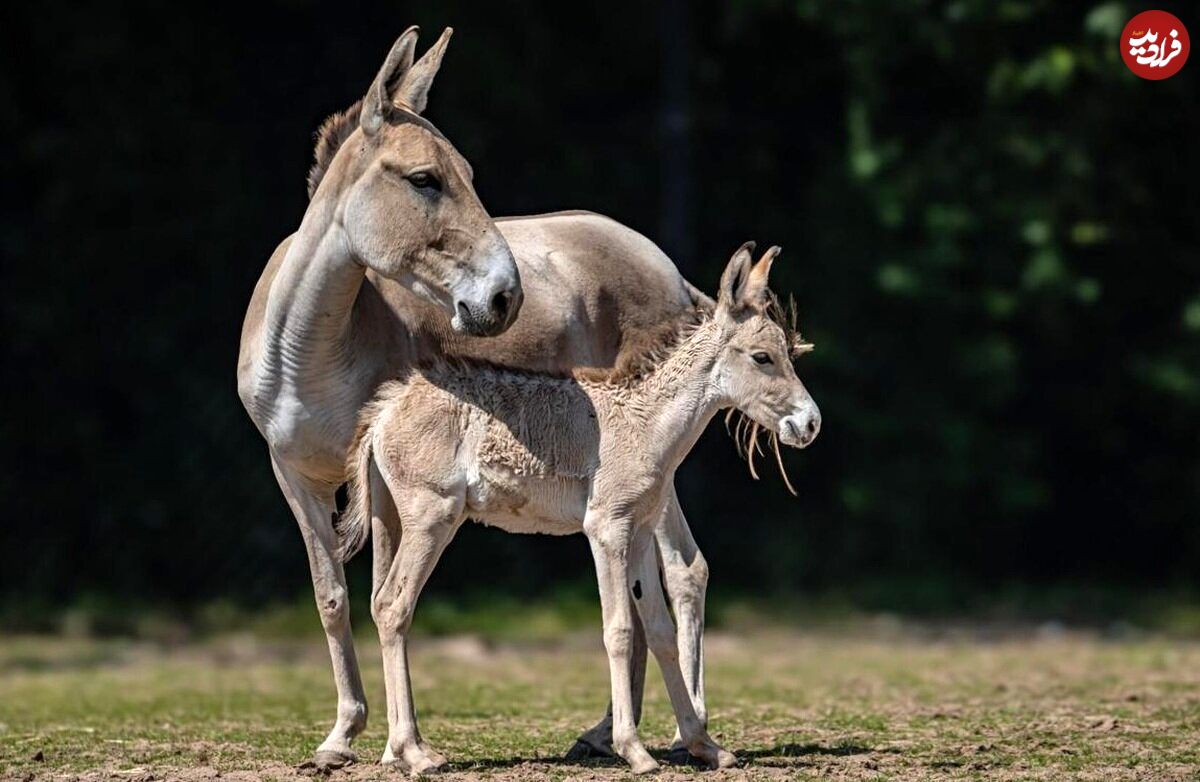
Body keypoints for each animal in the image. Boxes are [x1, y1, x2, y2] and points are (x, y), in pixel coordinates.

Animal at [343, 245, 820, 777]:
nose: (810, 424)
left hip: (393, 520)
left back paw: (397, 751)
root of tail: (384, 412)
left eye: (788, 353)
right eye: (762, 357)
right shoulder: (607, 531)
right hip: (431, 519)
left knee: (381, 604)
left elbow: (659, 630)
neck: (644, 422)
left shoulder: (640, 532)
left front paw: (704, 745)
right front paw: (634, 750)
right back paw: (416, 752)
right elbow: (619, 630)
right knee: (393, 606)